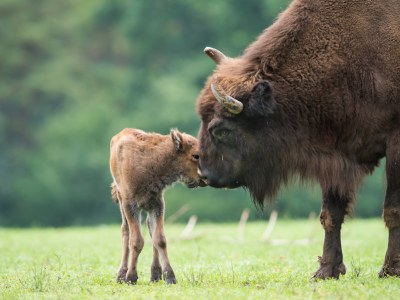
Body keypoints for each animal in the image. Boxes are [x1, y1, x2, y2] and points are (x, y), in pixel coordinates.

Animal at [109, 128, 205, 284]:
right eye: (195, 155)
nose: (205, 178)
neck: (151, 159)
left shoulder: (157, 204)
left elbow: (159, 239)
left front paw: (170, 277)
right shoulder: (130, 205)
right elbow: (136, 241)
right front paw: (131, 277)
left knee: (150, 231)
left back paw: (155, 275)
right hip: (122, 201)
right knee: (125, 231)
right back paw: (121, 275)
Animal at [197, 0, 400, 278]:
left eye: (221, 129)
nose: (204, 174)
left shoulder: (395, 144)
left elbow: (392, 209)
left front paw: (390, 270)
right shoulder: (336, 155)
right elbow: (331, 214)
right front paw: (326, 271)